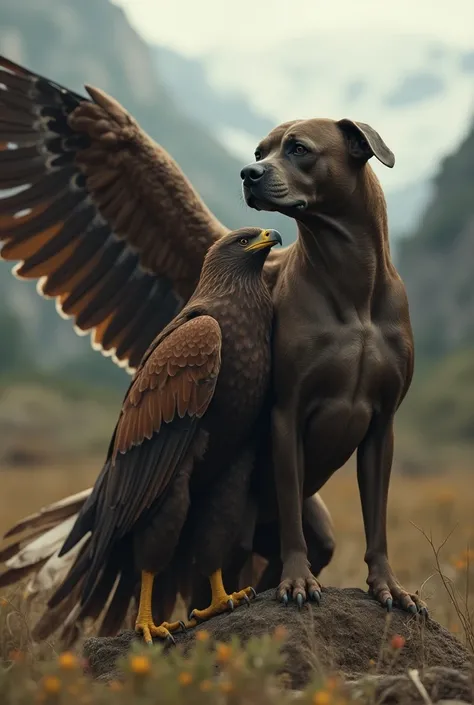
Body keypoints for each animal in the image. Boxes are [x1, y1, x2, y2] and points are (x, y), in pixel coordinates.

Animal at [243, 118, 424, 612]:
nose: (248, 172)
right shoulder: (287, 414)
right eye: (260, 151)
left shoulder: (382, 426)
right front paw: (298, 580)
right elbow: (290, 513)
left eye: (299, 149)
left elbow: (376, 520)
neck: (351, 279)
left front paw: (389, 585)